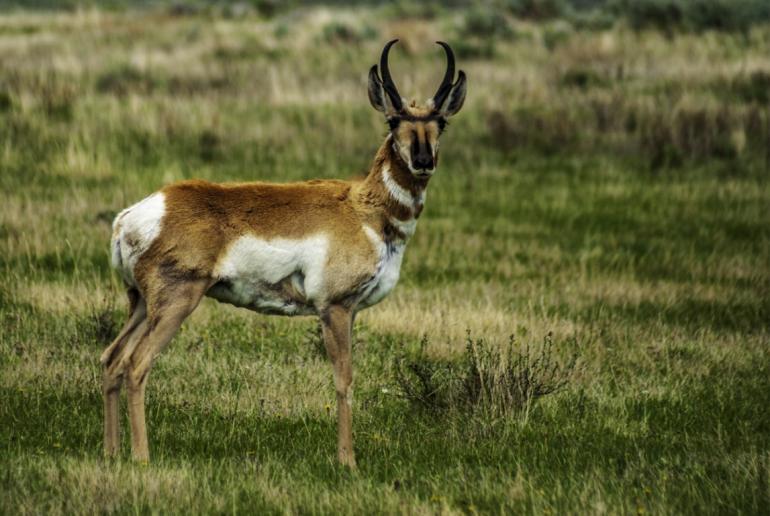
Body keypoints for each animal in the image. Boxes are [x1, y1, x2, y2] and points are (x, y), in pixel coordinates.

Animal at [100, 40, 466, 467]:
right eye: (393, 121)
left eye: (441, 122)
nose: (424, 161)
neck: (363, 208)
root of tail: (133, 216)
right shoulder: (334, 307)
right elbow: (344, 380)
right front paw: (347, 461)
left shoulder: (353, 311)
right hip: (176, 302)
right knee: (136, 364)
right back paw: (142, 457)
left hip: (142, 304)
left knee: (111, 359)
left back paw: (111, 453)